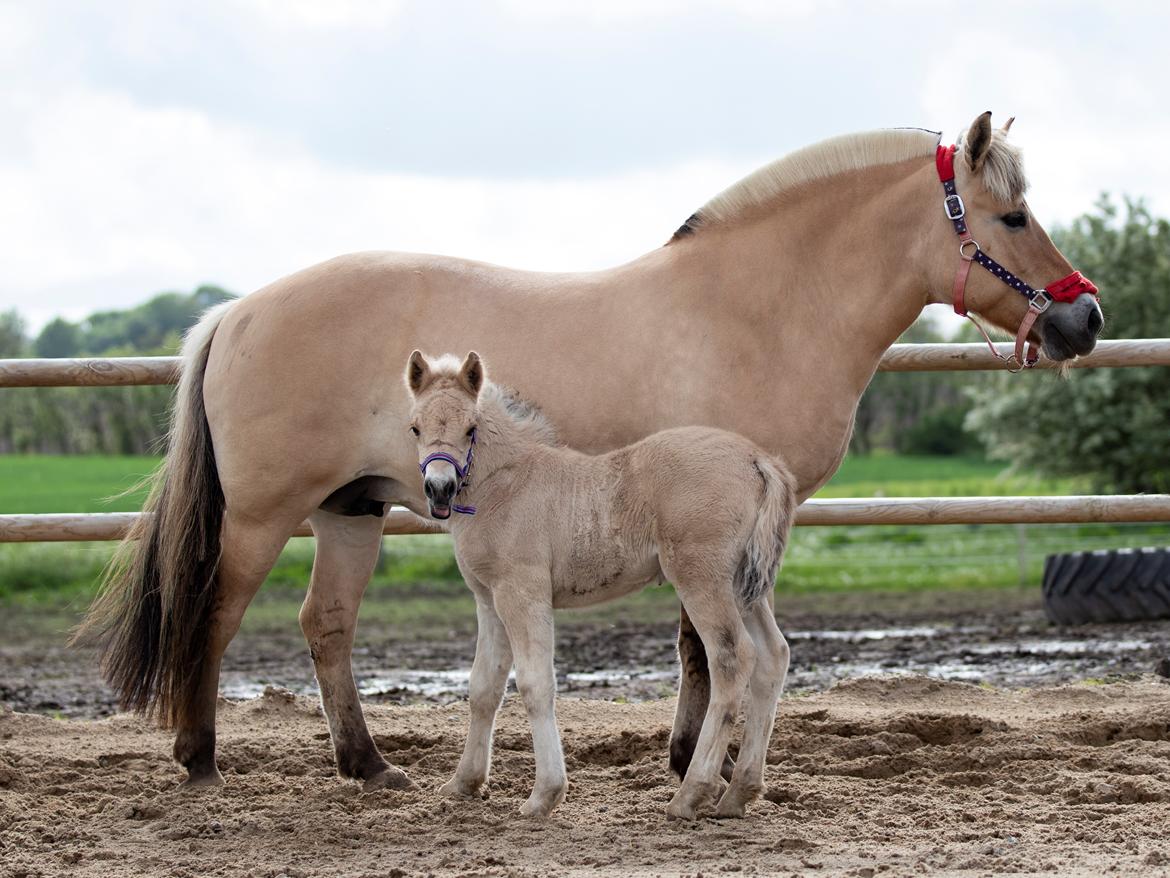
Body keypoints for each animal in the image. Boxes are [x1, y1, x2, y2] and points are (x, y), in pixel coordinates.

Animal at [402, 348, 795, 819]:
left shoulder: (522, 593)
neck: (506, 484)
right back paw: (739, 793)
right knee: (773, 656)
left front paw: (543, 796)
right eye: (415, 427)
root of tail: (759, 459)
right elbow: (484, 687)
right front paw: (463, 783)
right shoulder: (488, 600)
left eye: (470, 428)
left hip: (702, 578)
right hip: (745, 587)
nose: (439, 489)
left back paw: (691, 794)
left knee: (732, 658)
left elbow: (535, 684)